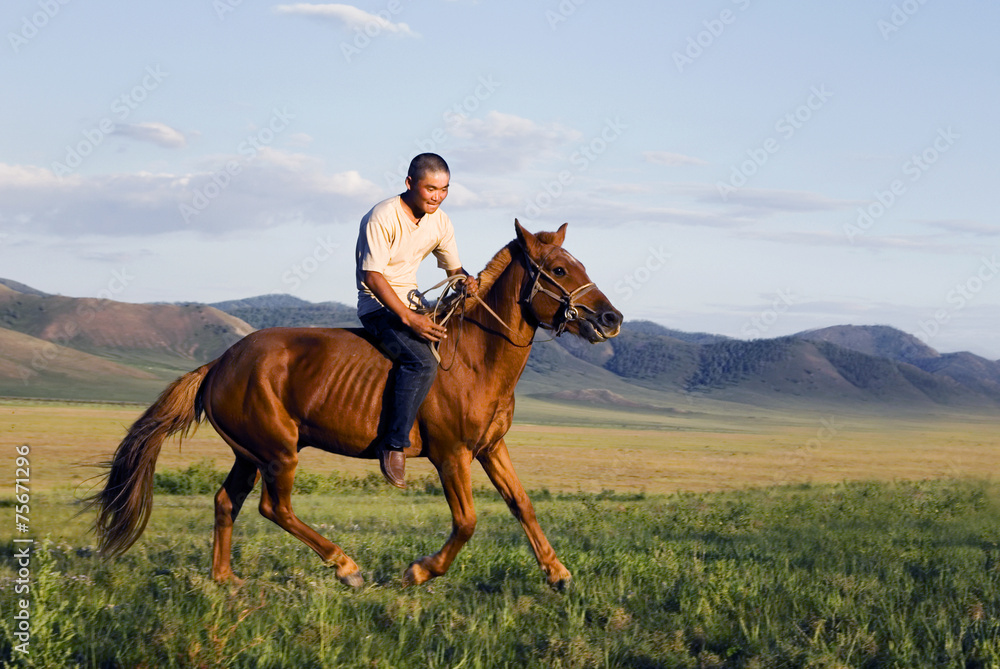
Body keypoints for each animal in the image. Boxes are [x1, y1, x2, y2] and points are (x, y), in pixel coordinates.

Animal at [94, 222, 624, 588]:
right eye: (559, 270)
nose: (611, 318)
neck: (475, 357)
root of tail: (220, 362)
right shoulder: (451, 455)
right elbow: (467, 522)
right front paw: (418, 571)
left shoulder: (490, 449)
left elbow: (522, 505)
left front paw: (557, 573)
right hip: (279, 452)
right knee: (273, 506)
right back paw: (345, 566)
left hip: (250, 453)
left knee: (228, 501)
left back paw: (225, 579)